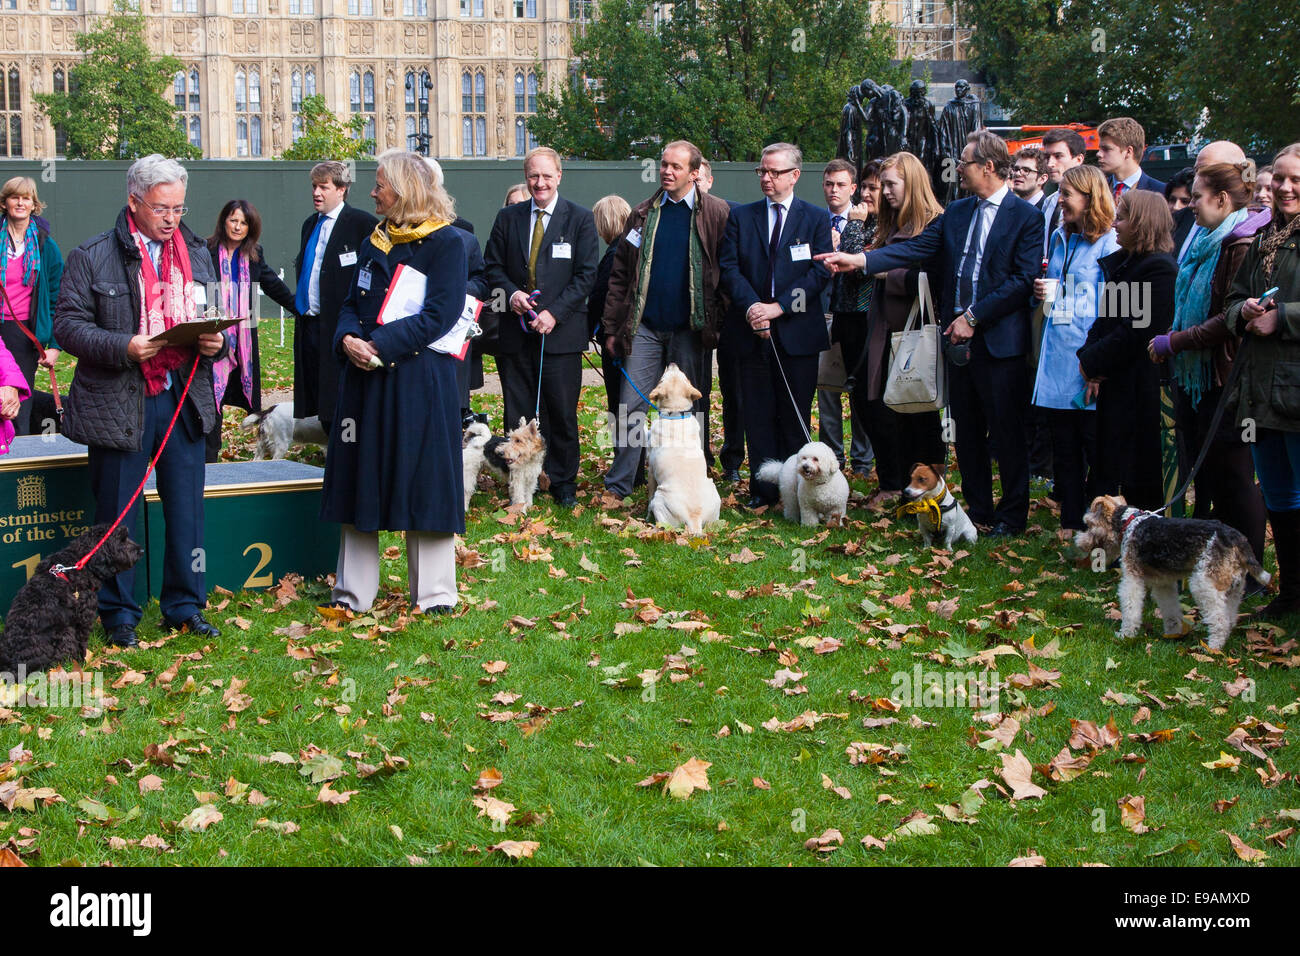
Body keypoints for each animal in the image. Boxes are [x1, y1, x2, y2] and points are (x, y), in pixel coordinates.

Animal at [0, 528, 143, 676]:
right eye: (121, 540)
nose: (141, 550)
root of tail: (11, 667)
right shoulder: (83, 620)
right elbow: (81, 644)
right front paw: (82, 663)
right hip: (65, 634)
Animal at [647, 364, 728, 535]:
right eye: (686, 377)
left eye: (662, 379)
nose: (672, 363)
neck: (676, 413)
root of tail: (694, 518)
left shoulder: (650, 469)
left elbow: (649, 494)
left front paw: (646, 515)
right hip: (713, 491)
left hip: (659, 498)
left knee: (662, 521)